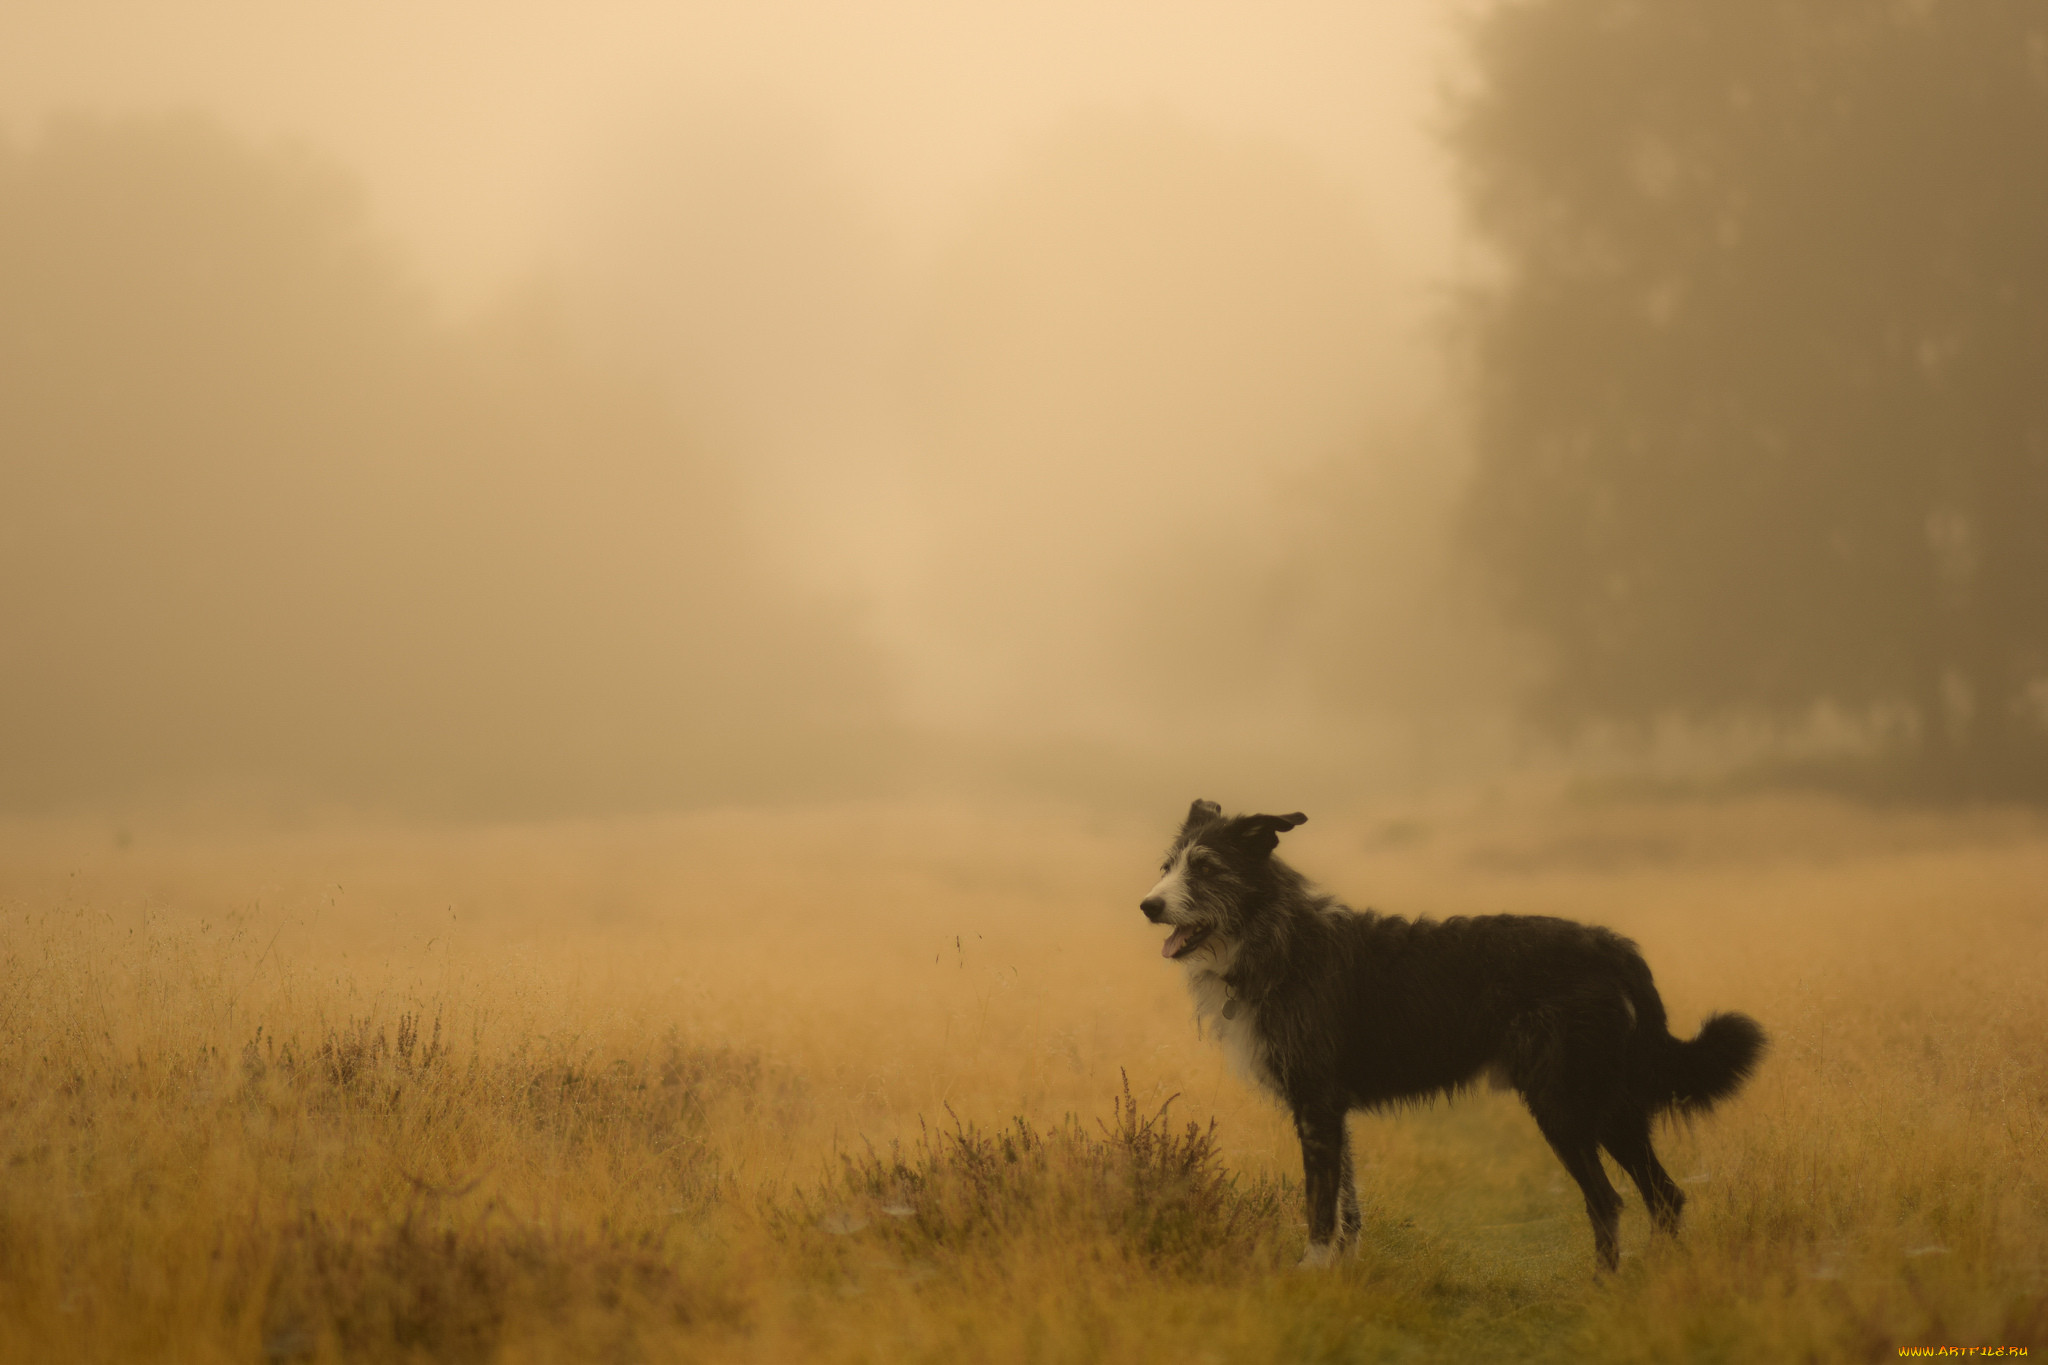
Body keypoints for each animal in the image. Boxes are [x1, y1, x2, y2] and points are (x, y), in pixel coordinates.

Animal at [1146, 802, 1769, 1268]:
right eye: (1167, 866)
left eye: (1206, 867)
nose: (1147, 904)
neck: (1274, 937)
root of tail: (1610, 944)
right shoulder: (1331, 1111)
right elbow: (1349, 1206)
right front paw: (1344, 1274)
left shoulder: (1316, 1106)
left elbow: (1320, 1208)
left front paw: (1312, 1275)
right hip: (1611, 1104)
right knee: (1665, 1196)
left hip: (1564, 1105)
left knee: (1610, 1201)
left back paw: (1607, 1289)